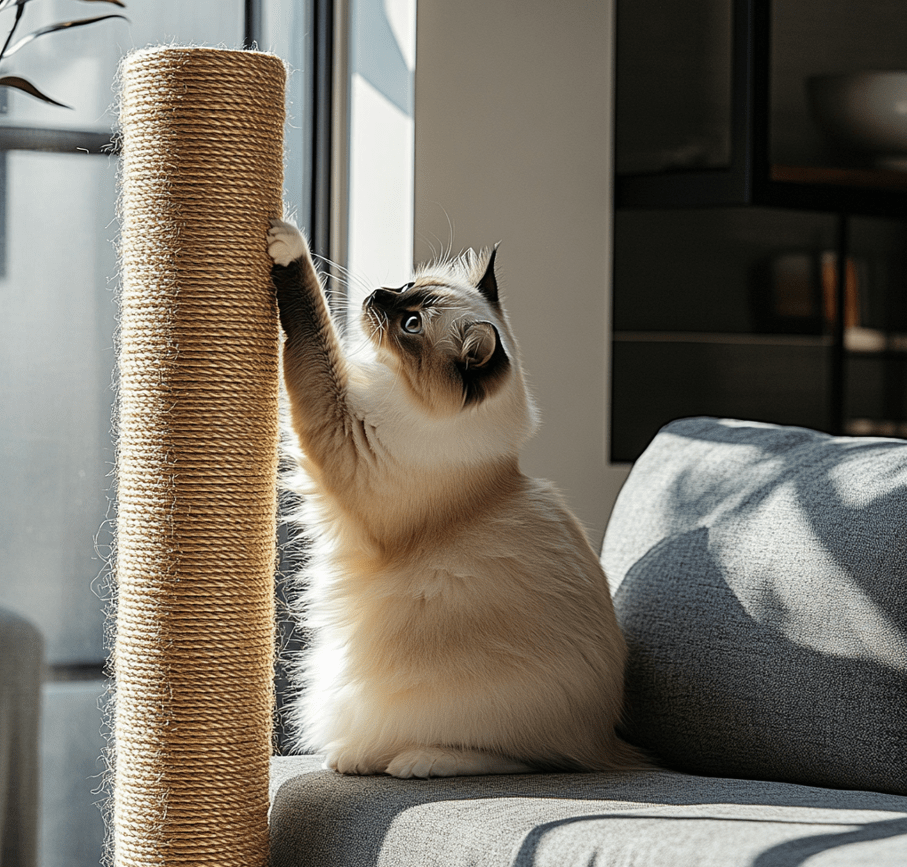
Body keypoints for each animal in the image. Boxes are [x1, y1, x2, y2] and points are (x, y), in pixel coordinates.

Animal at [266, 219, 648, 780]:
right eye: (406, 288)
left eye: (411, 324)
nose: (378, 295)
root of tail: (610, 742)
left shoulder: (342, 429)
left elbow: (312, 328)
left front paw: (287, 243)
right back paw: (360, 759)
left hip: (472, 706)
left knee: (526, 760)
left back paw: (405, 761)